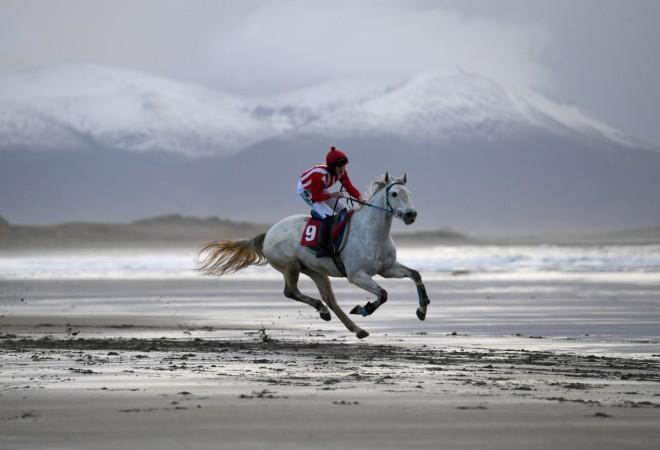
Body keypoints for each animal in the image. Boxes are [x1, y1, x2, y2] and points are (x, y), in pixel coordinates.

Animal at [197, 173, 430, 339]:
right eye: (394, 194)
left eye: (409, 193)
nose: (411, 215)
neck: (372, 232)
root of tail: (268, 234)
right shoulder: (357, 275)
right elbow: (383, 294)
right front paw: (364, 308)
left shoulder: (387, 269)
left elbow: (415, 275)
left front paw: (422, 309)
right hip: (291, 266)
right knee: (291, 292)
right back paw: (324, 311)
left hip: (316, 271)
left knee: (330, 300)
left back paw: (355, 328)